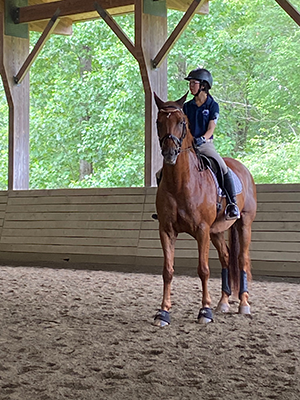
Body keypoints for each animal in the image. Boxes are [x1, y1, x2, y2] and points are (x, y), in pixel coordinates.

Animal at [154, 92, 256, 326]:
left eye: (182, 122)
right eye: (158, 122)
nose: (170, 153)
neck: (180, 183)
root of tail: (243, 168)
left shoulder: (202, 230)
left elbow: (204, 269)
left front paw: (205, 311)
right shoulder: (166, 230)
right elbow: (167, 270)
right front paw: (163, 312)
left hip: (244, 223)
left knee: (243, 259)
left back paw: (244, 304)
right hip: (217, 231)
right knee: (227, 257)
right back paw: (224, 302)